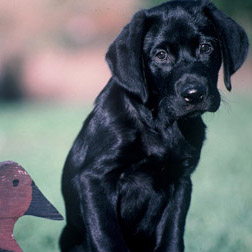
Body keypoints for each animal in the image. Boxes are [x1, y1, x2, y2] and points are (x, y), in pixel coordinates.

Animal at [60, 0, 248, 251]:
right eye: (160, 55)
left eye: (206, 48)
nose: (194, 94)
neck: (162, 126)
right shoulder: (95, 179)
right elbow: (106, 237)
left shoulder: (180, 181)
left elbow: (172, 237)